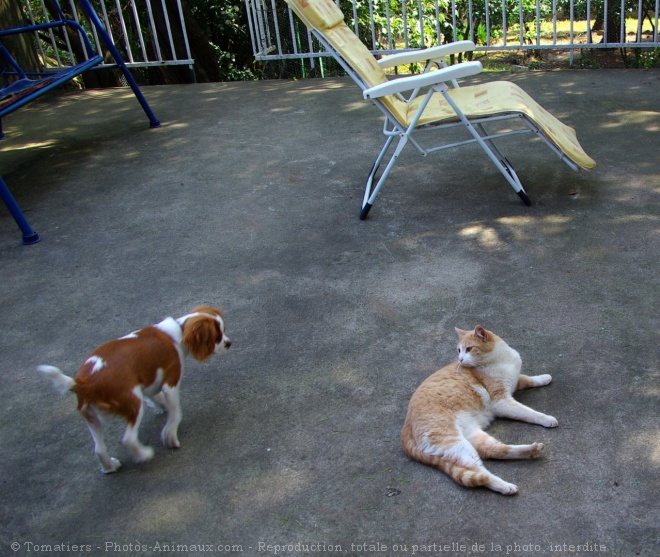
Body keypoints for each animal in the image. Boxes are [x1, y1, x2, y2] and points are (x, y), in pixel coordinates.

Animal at [37, 306, 232, 472]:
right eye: (218, 336)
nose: (229, 343)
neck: (178, 330)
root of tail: (86, 381)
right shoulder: (171, 382)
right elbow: (176, 411)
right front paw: (169, 435)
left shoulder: (148, 381)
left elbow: (156, 396)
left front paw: (161, 407)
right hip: (132, 402)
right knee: (128, 439)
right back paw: (144, 454)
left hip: (92, 417)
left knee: (99, 449)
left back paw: (110, 467)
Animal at [402, 324, 556, 494]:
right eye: (459, 350)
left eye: (468, 349)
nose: (460, 360)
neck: (500, 359)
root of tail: (405, 428)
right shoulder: (501, 400)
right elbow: (528, 412)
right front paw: (546, 418)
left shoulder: (514, 381)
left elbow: (528, 379)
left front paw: (544, 378)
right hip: (454, 442)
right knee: (478, 473)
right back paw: (504, 485)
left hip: (471, 434)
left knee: (493, 450)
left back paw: (531, 450)